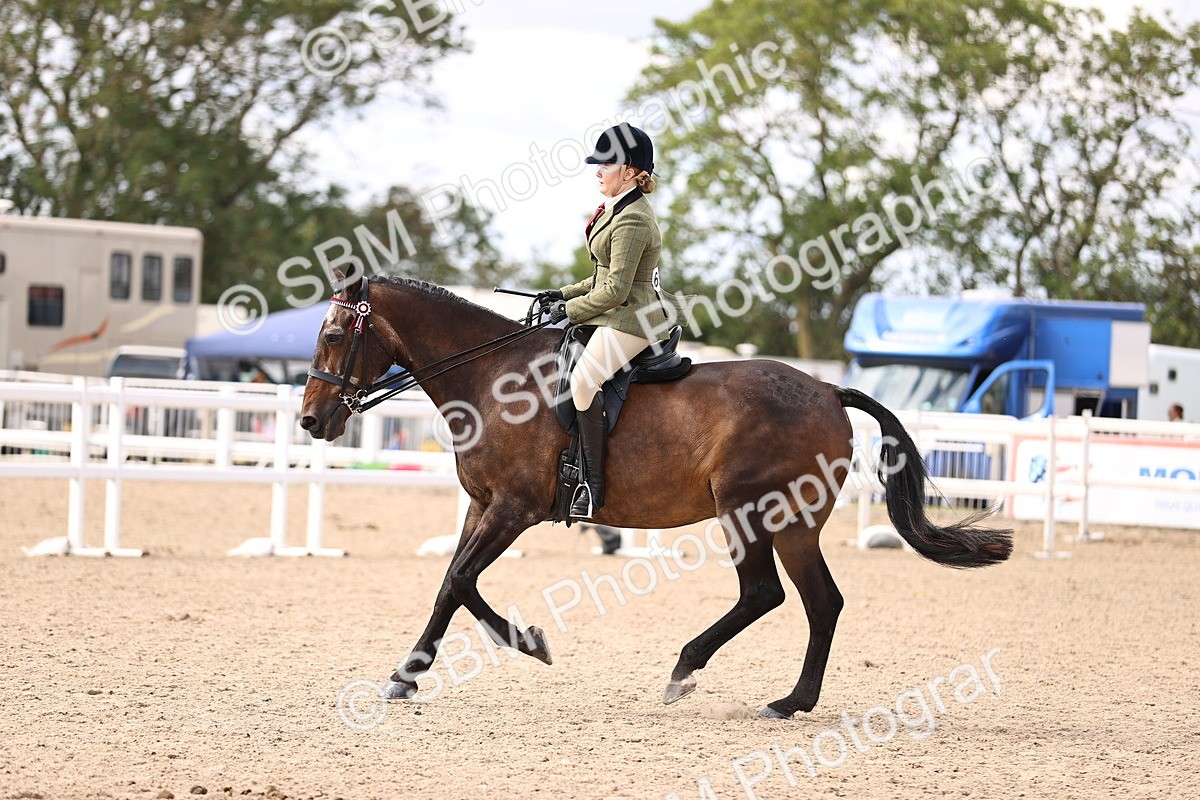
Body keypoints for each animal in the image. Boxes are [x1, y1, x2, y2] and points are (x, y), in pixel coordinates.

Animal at [299, 274, 1013, 718]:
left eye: (334, 336)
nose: (310, 421)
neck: (490, 378)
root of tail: (827, 391)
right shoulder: (483, 506)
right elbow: (454, 584)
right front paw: (434, 666)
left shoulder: (513, 510)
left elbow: (457, 582)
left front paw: (500, 650)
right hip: (786, 523)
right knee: (817, 601)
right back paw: (780, 697)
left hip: (755, 513)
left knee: (773, 594)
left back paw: (709, 678)